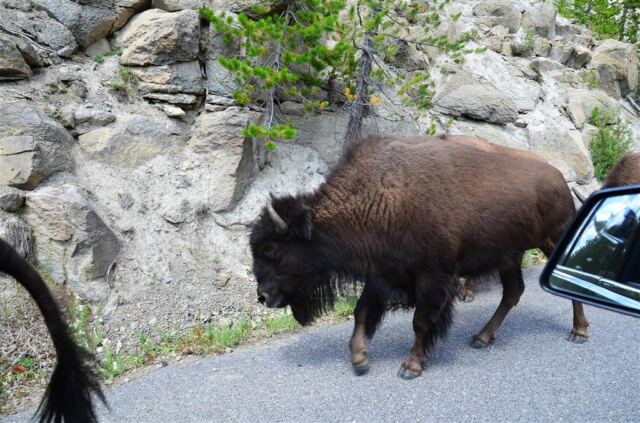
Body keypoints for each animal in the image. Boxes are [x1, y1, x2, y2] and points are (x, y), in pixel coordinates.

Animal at [250, 135, 588, 379]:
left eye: (272, 249)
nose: (263, 296)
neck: (380, 197)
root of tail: (559, 178)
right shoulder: (382, 275)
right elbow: (362, 313)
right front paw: (359, 359)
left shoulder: (432, 278)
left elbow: (421, 322)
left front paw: (411, 366)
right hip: (509, 256)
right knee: (513, 291)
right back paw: (481, 337)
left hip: (554, 241)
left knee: (566, 286)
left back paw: (579, 332)